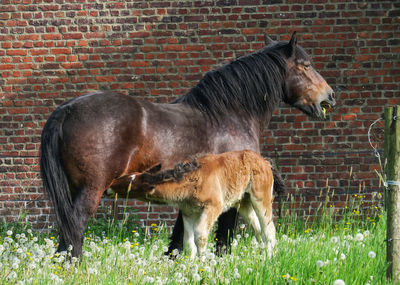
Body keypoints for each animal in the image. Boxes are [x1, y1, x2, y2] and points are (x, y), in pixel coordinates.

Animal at [128, 150, 284, 258]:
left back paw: (270, 258)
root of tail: (265, 161)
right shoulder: (188, 213)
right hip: (244, 203)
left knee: (269, 229)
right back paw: (261, 257)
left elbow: (200, 234)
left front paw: (203, 263)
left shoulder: (213, 207)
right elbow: (188, 240)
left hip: (261, 199)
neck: (194, 178)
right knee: (258, 229)